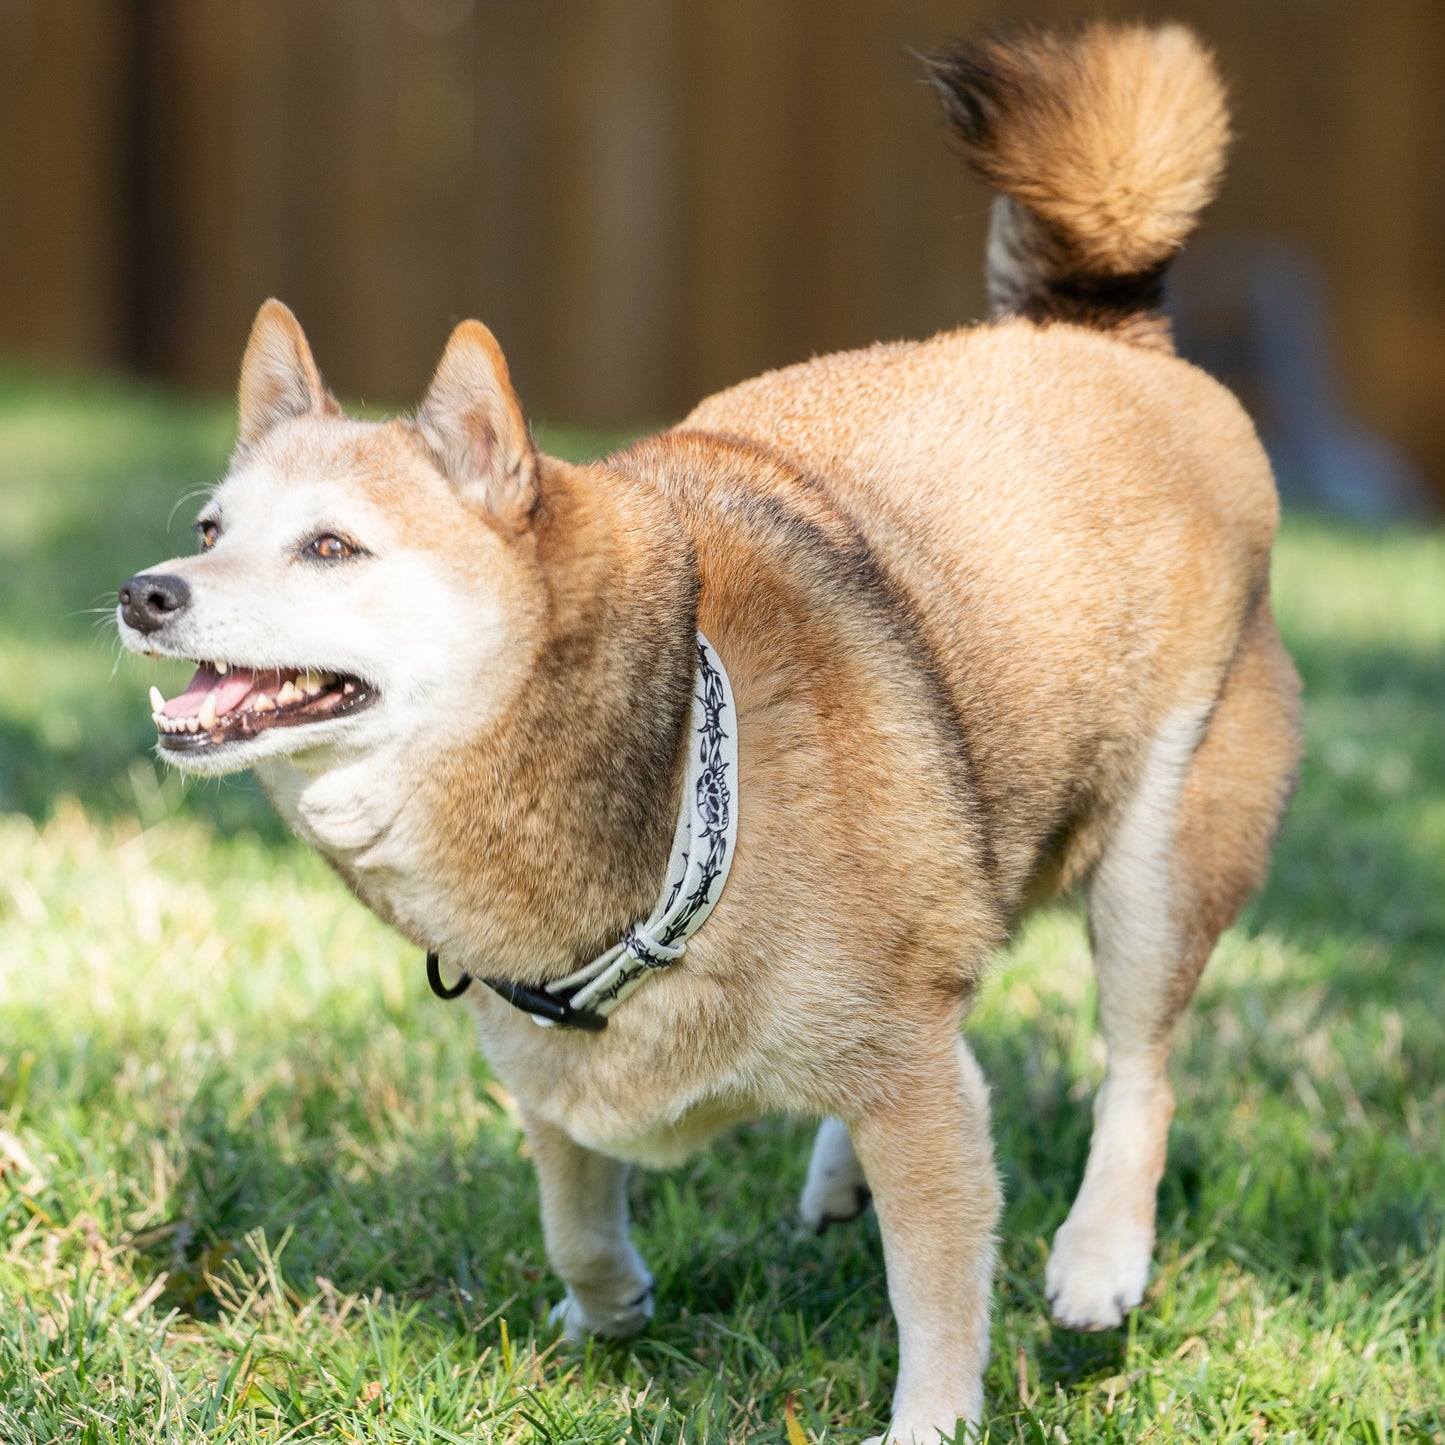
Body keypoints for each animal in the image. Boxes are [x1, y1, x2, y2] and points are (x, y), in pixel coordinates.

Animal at [118, 25, 1306, 1445]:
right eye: (210, 530)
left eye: (332, 547)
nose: (146, 594)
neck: (689, 764)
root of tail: (1109, 340)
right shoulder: (550, 1065)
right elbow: (574, 1213)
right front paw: (610, 1308)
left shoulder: (911, 1080)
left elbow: (936, 1286)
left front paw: (930, 1417)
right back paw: (844, 1172)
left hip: (1158, 854)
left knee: (1138, 1062)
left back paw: (1097, 1253)